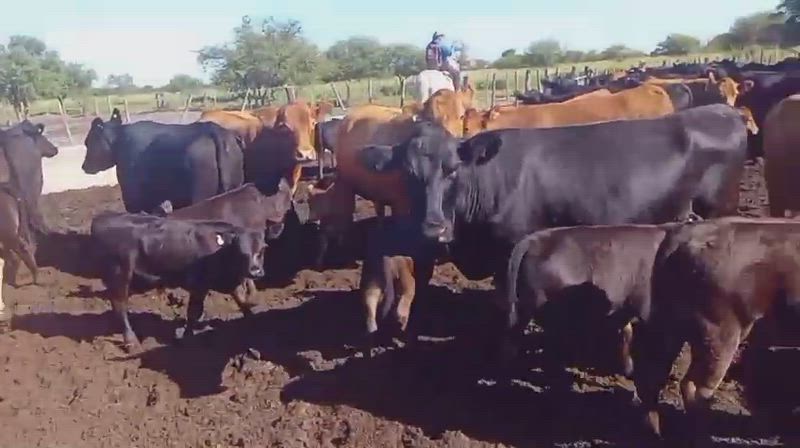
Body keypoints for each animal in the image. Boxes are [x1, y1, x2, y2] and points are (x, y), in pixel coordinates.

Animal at [82, 108, 244, 214]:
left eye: (88, 142)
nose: (84, 166)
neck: (119, 140)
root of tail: (213, 130)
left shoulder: (133, 196)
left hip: (199, 196)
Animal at [90, 212, 267, 350]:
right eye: (241, 251)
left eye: (262, 249)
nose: (255, 271)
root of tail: (102, 217)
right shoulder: (198, 286)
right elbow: (193, 313)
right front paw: (188, 337)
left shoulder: (230, 283)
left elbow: (242, 302)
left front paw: (254, 322)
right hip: (119, 276)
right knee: (120, 306)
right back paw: (131, 341)